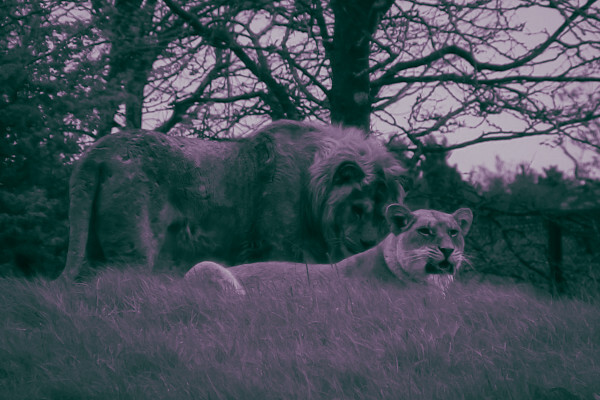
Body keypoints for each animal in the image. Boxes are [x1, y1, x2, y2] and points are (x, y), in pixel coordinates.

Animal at [61, 120, 406, 280]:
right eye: (357, 208)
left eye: (382, 215)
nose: (367, 242)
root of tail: (96, 152)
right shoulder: (280, 246)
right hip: (133, 251)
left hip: (94, 248)